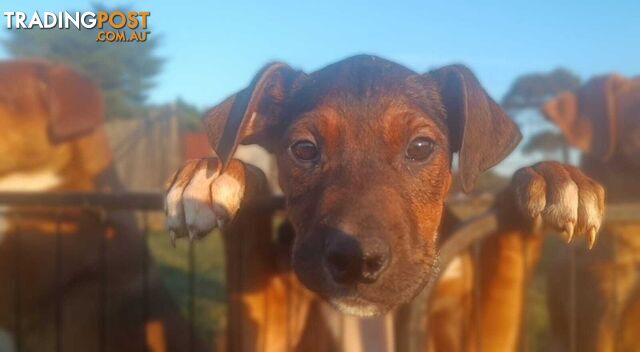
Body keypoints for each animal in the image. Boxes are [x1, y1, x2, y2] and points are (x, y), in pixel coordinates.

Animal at [166, 55, 604, 350]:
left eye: (421, 147)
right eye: (303, 149)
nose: (356, 259)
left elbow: (510, 257)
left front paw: (552, 179)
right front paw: (214, 174)